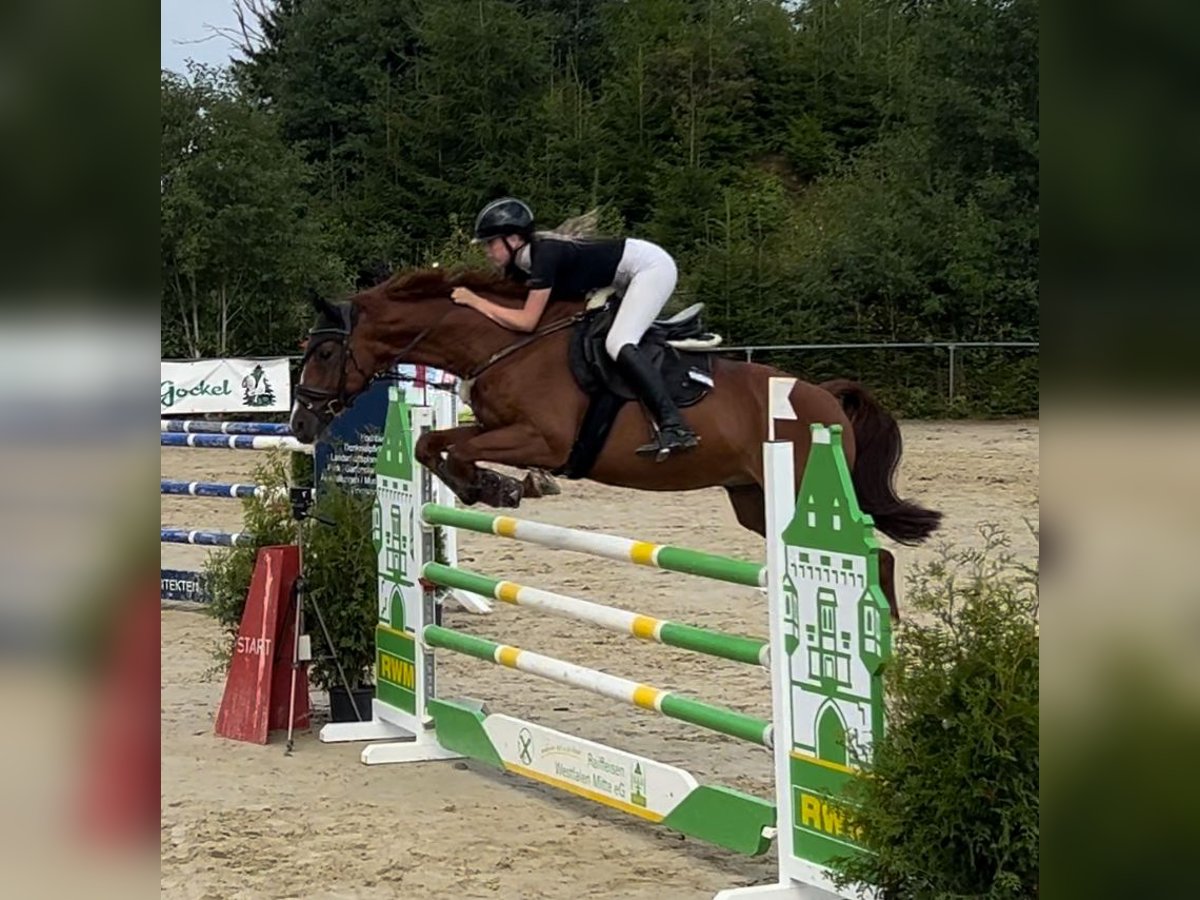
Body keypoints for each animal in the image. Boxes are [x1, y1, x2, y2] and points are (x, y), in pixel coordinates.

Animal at [288, 271, 936, 619]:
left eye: (325, 351)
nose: (301, 423)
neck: (505, 345)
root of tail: (825, 397)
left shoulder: (542, 439)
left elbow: (455, 447)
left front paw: (501, 487)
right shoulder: (503, 430)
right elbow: (433, 445)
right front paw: (493, 488)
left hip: (799, 485)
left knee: (876, 558)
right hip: (755, 501)